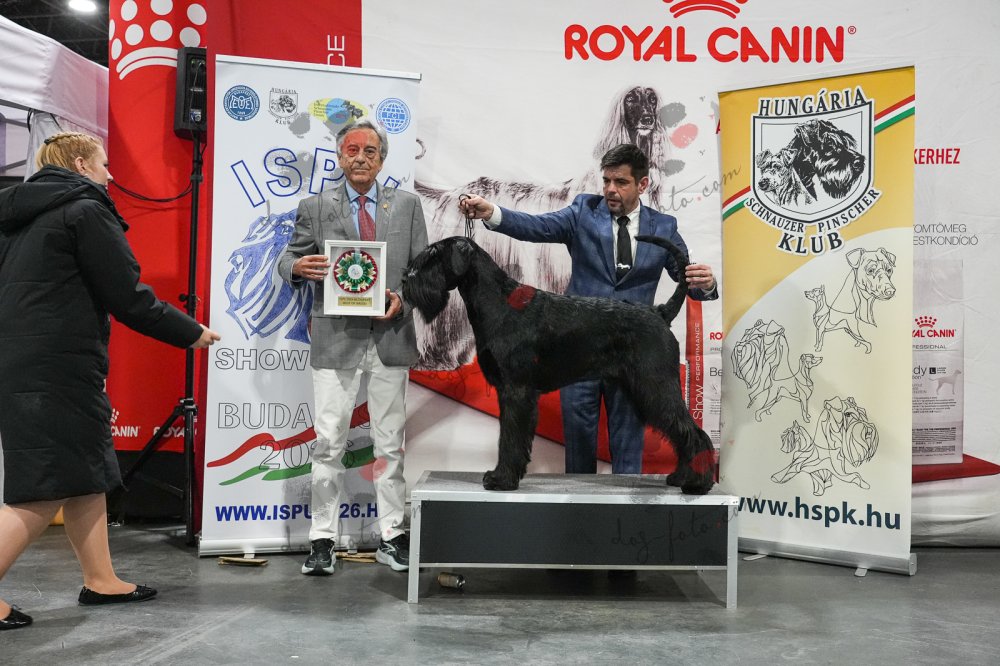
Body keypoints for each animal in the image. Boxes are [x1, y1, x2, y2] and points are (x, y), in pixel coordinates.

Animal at [402, 235, 715, 495]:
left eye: (433, 255)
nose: (406, 280)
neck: (499, 303)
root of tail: (659, 312)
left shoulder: (517, 390)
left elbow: (510, 438)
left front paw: (501, 479)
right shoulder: (508, 391)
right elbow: (509, 436)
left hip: (656, 385)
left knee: (694, 433)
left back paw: (697, 484)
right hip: (645, 390)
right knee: (681, 432)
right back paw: (680, 477)